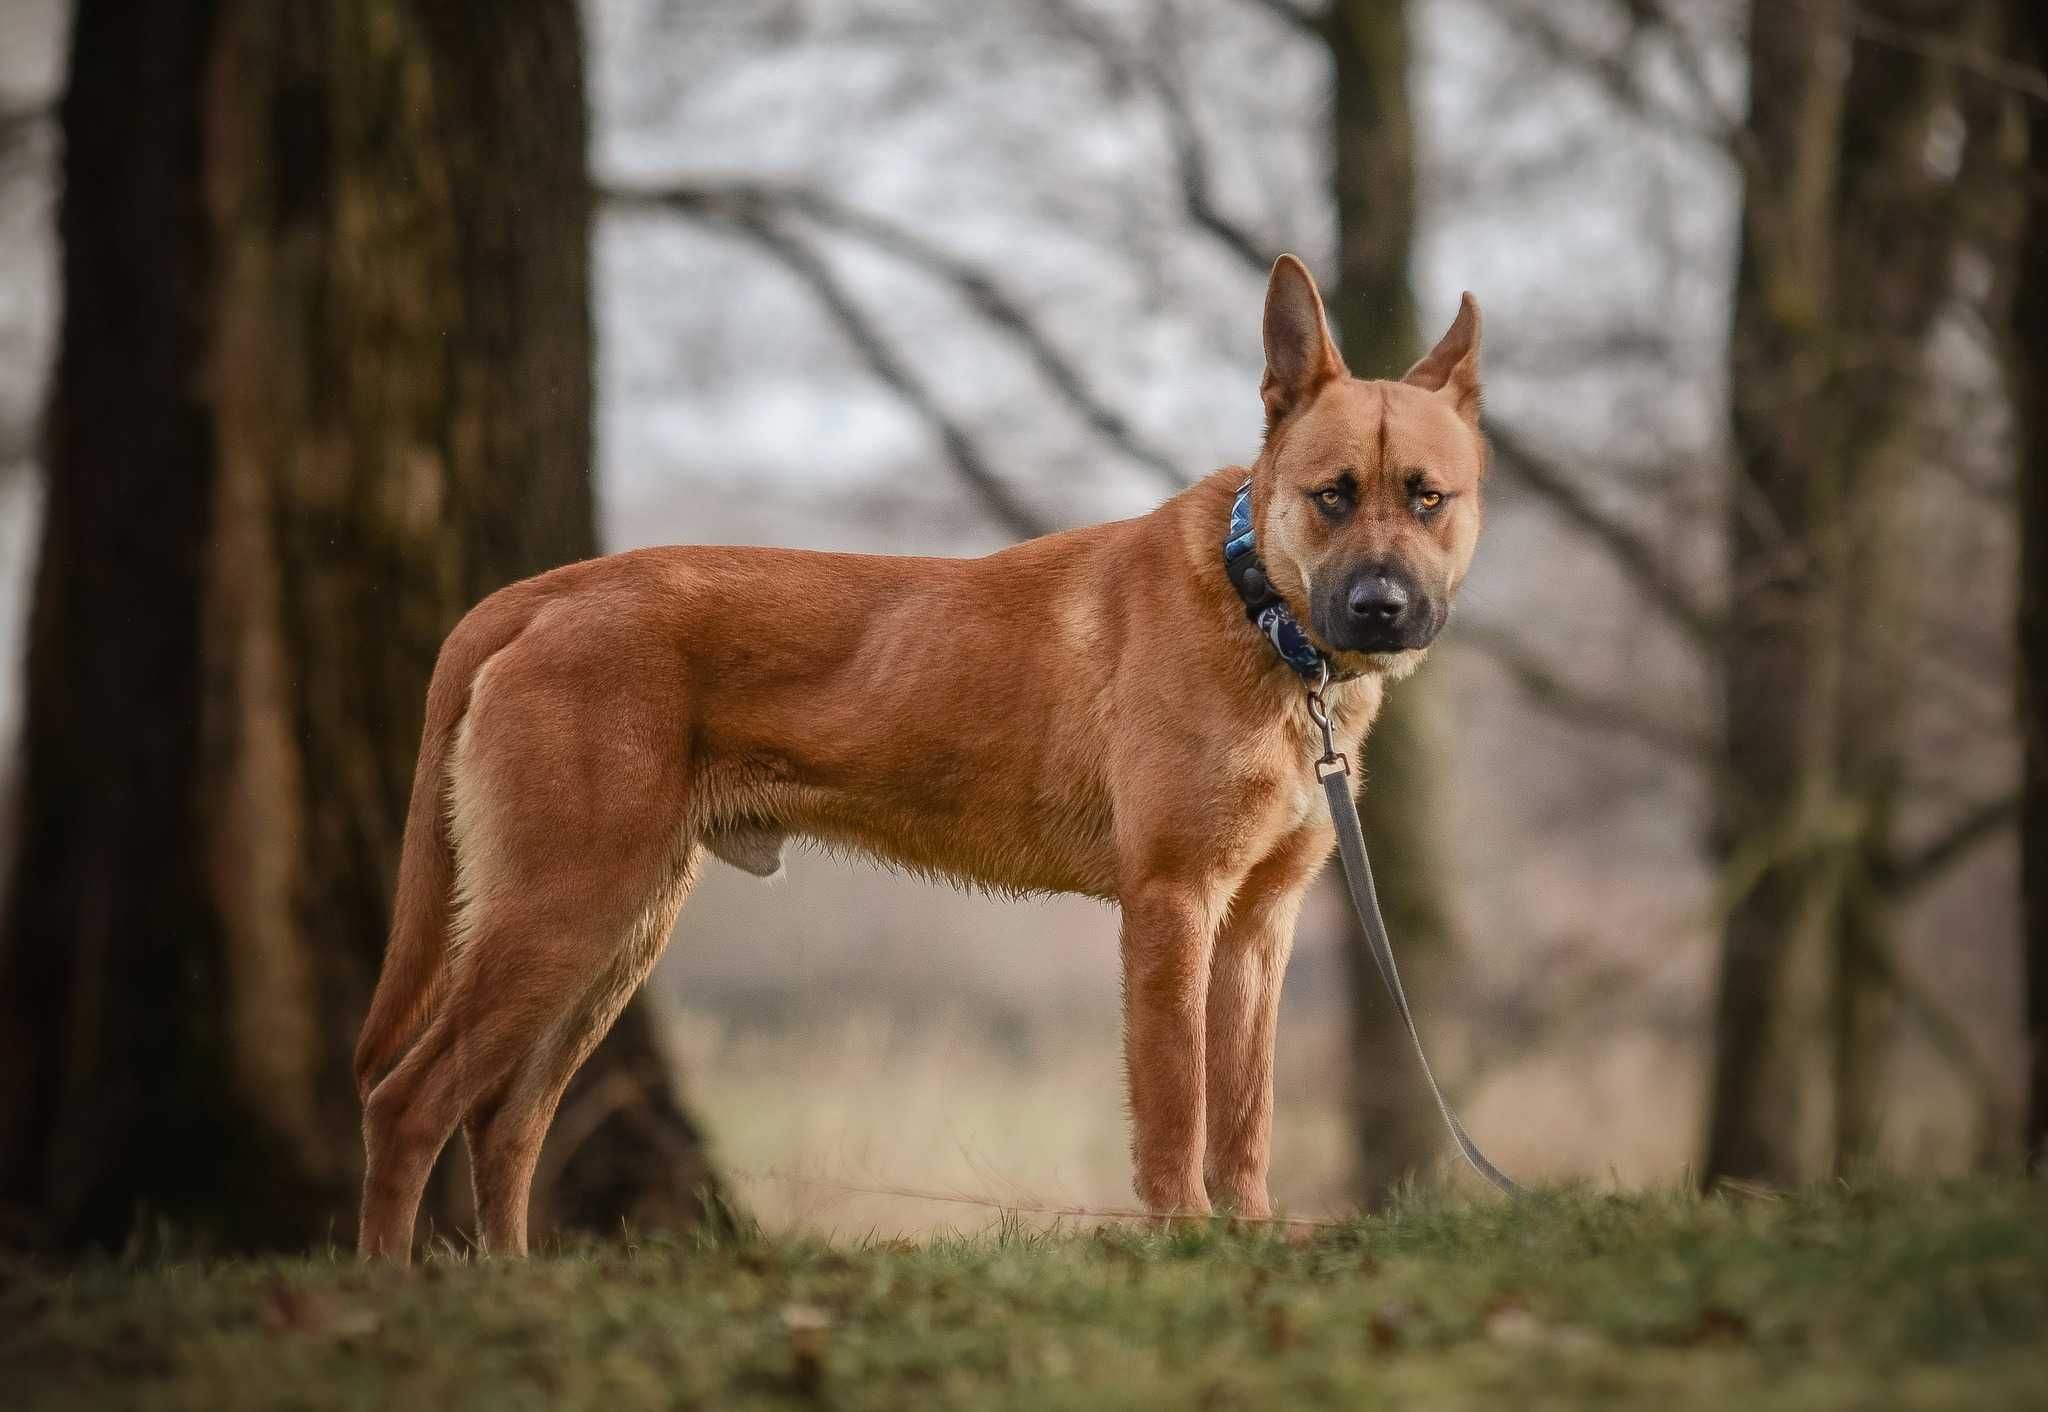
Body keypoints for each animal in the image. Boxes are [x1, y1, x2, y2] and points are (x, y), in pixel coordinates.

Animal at [356, 253, 1490, 1254]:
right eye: (1333, 493)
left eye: (1426, 496)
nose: (1381, 607)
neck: (1260, 607)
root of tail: (539, 595)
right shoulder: (1172, 902)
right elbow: (1177, 1111)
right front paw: (1184, 1245)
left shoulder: (1260, 919)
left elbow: (1245, 1111)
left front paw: (1247, 1239)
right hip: (562, 908)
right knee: (407, 1103)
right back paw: (394, 1291)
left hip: (614, 931)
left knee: (504, 1120)